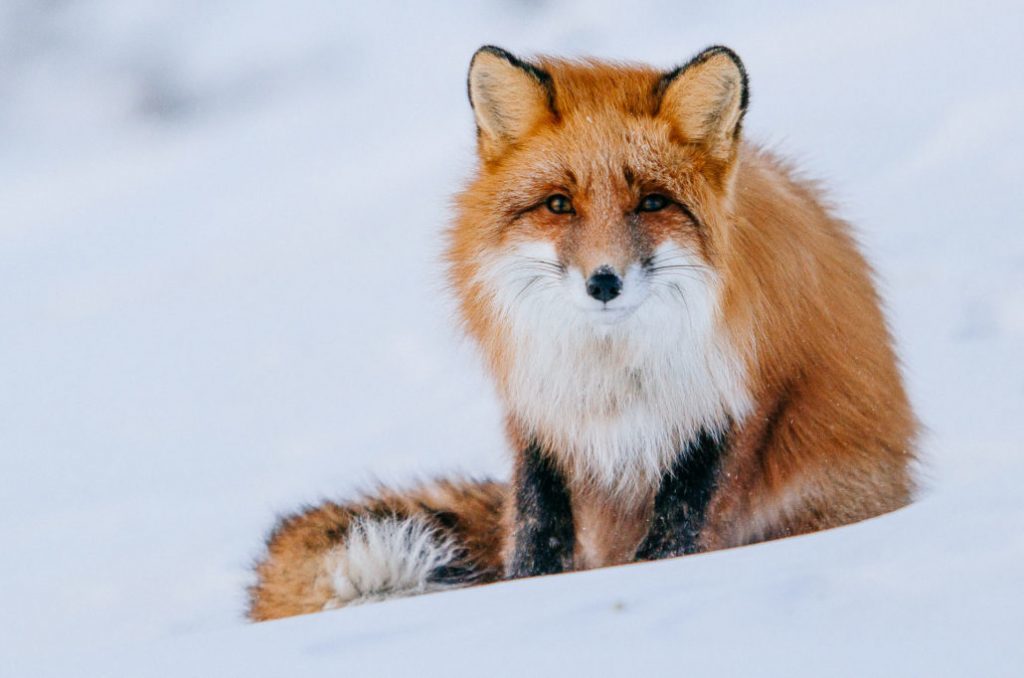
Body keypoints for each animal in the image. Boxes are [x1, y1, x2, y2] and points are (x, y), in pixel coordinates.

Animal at [247, 45, 921, 622]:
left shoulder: (723, 411)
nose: (604, 282)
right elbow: (536, 533)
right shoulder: (541, 416)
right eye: (558, 204)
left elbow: (679, 530)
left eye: (652, 203)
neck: (612, 372)